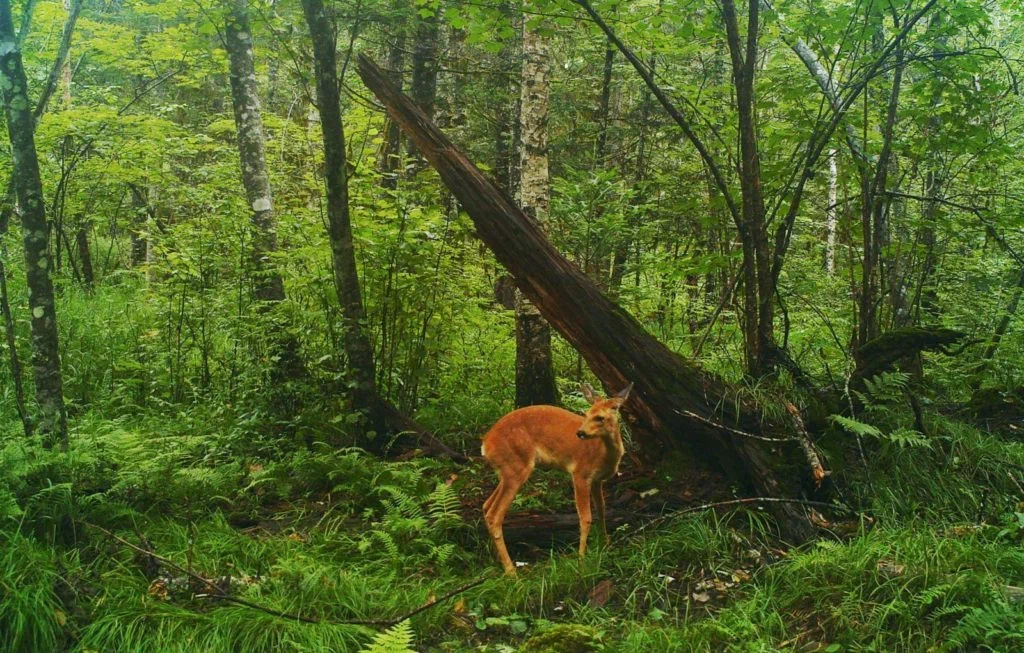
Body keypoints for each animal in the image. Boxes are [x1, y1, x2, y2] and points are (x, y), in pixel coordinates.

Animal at [479, 384, 630, 577]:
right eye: (587, 413)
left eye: (600, 417)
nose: (580, 432)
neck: (603, 454)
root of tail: (486, 444)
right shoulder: (580, 474)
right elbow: (585, 517)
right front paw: (581, 562)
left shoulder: (597, 481)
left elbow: (602, 510)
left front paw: (606, 545)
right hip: (516, 468)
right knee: (494, 514)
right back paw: (511, 571)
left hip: (506, 471)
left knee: (486, 505)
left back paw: (496, 559)